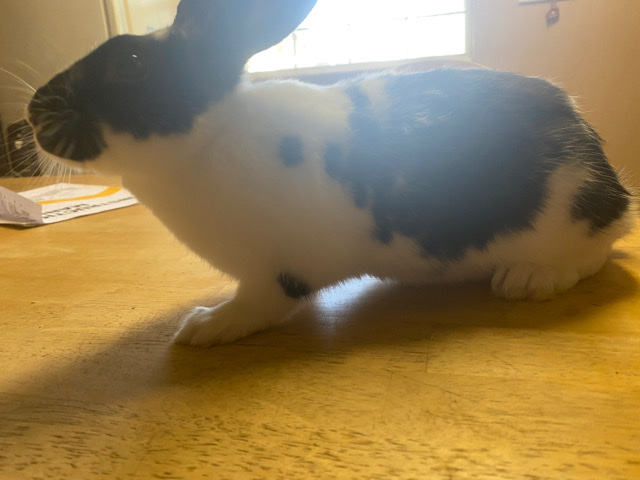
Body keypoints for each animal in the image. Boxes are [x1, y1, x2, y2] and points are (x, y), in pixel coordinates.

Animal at [26, 0, 635, 346]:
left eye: (129, 64)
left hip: (567, 216)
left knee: (591, 255)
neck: (210, 137)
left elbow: (257, 306)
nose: (31, 112)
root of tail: (615, 188)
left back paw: (526, 280)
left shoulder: (272, 273)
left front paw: (203, 327)